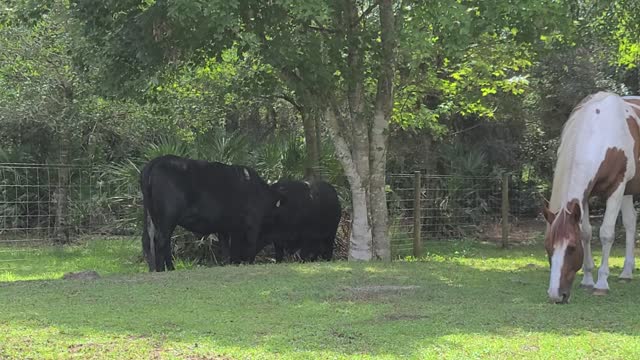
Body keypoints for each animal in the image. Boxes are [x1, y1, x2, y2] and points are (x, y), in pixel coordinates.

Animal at [544, 91, 640, 302]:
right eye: (548, 247)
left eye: (571, 248)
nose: (556, 295)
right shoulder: (585, 197)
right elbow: (587, 233)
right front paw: (587, 280)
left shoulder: (616, 188)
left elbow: (606, 234)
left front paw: (601, 284)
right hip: (628, 191)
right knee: (630, 222)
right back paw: (626, 273)